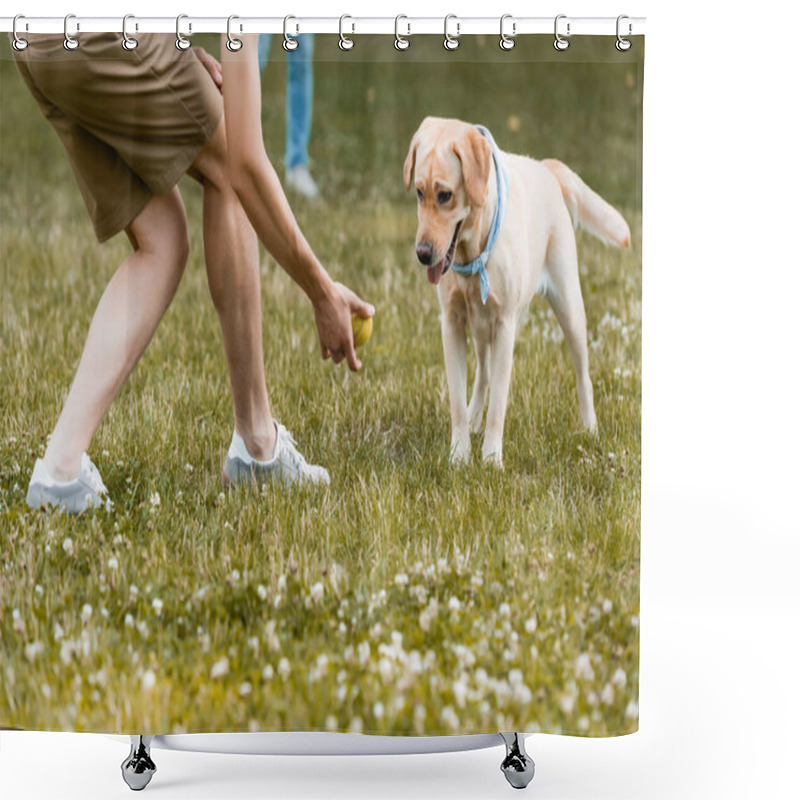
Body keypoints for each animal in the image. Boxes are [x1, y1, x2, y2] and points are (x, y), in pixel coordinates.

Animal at [406, 119, 632, 468]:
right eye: (418, 192)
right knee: (482, 374)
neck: (474, 251)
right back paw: (474, 418)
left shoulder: (504, 326)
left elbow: (498, 406)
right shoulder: (452, 323)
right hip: (479, 326)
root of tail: (545, 166)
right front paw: (459, 455)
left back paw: (590, 427)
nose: (422, 254)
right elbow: (457, 400)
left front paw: (491, 460)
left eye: (445, 196)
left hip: (570, 309)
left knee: (583, 375)